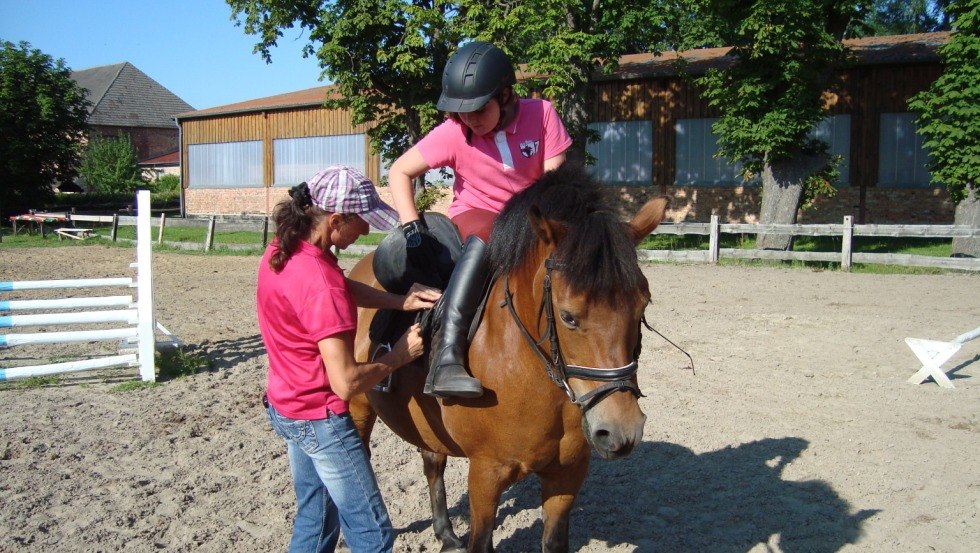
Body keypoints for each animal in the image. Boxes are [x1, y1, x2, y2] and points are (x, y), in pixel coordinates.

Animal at [348, 164, 669, 552]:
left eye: (642, 306)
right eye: (568, 317)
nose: (622, 430)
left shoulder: (568, 474)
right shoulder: (486, 474)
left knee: (432, 460)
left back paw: (445, 533)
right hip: (358, 407)